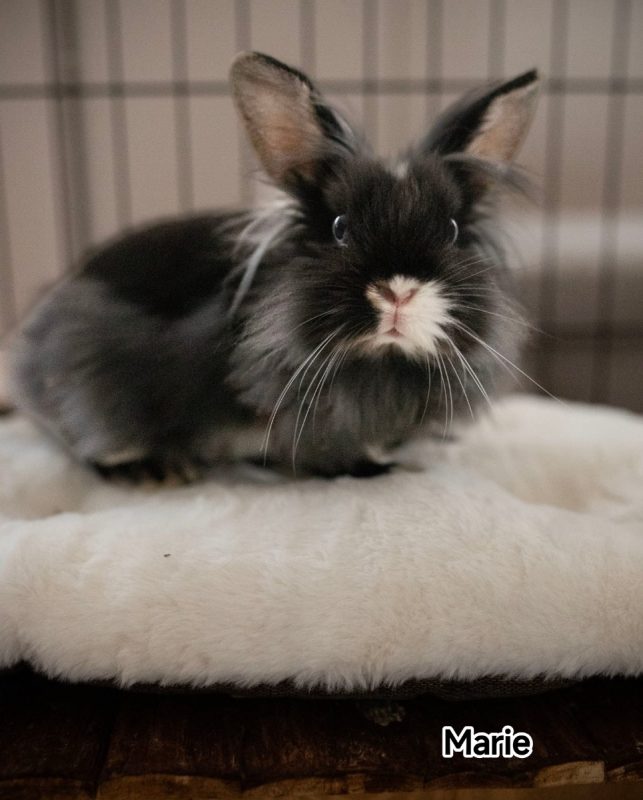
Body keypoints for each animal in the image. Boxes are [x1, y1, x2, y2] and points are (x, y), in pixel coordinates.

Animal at [10, 52, 540, 482]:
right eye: (340, 228)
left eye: (451, 230)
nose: (398, 292)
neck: (382, 365)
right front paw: (373, 468)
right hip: (93, 388)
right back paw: (158, 470)